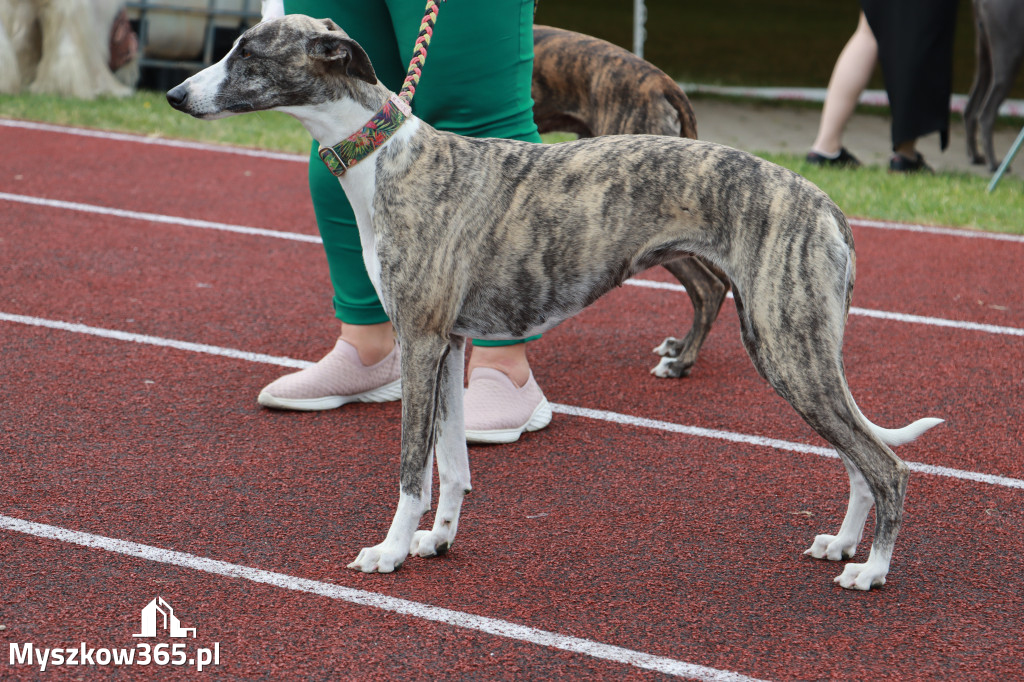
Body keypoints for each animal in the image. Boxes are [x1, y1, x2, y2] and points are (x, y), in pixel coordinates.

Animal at [167, 17, 942, 589]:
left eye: (247, 52)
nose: (173, 94)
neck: (388, 159)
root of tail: (827, 207)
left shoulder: (420, 340)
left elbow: (413, 466)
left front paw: (387, 551)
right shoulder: (449, 343)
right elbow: (453, 462)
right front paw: (436, 540)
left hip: (788, 346)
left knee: (886, 464)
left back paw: (872, 569)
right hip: (794, 346)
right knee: (856, 458)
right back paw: (842, 543)